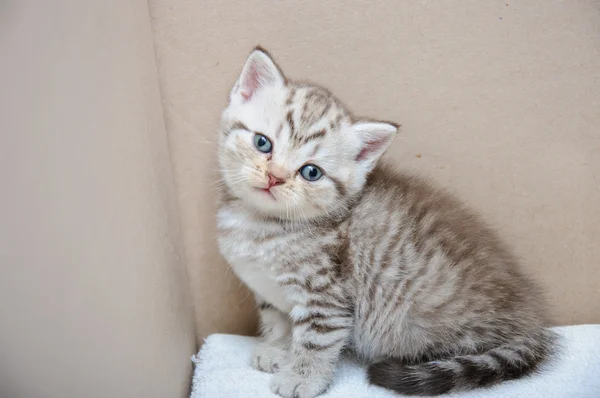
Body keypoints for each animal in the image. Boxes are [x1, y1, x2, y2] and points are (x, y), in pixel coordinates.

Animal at [216, 48, 552, 396]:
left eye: (311, 172)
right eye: (262, 143)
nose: (275, 177)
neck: (260, 224)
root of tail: (531, 320)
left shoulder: (328, 297)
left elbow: (315, 339)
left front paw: (303, 377)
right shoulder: (271, 294)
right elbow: (277, 322)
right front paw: (277, 350)